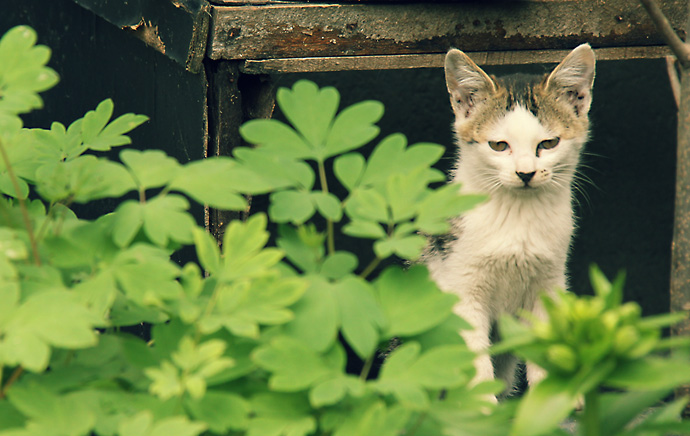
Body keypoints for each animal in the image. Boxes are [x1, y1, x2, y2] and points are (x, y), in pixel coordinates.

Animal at [422, 43, 592, 396]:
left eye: (548, 143)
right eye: (499, 145)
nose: (525, 173)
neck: (517, 219)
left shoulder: (548, 286)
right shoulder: (463, 291)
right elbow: (476, 367)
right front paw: (482, 407)